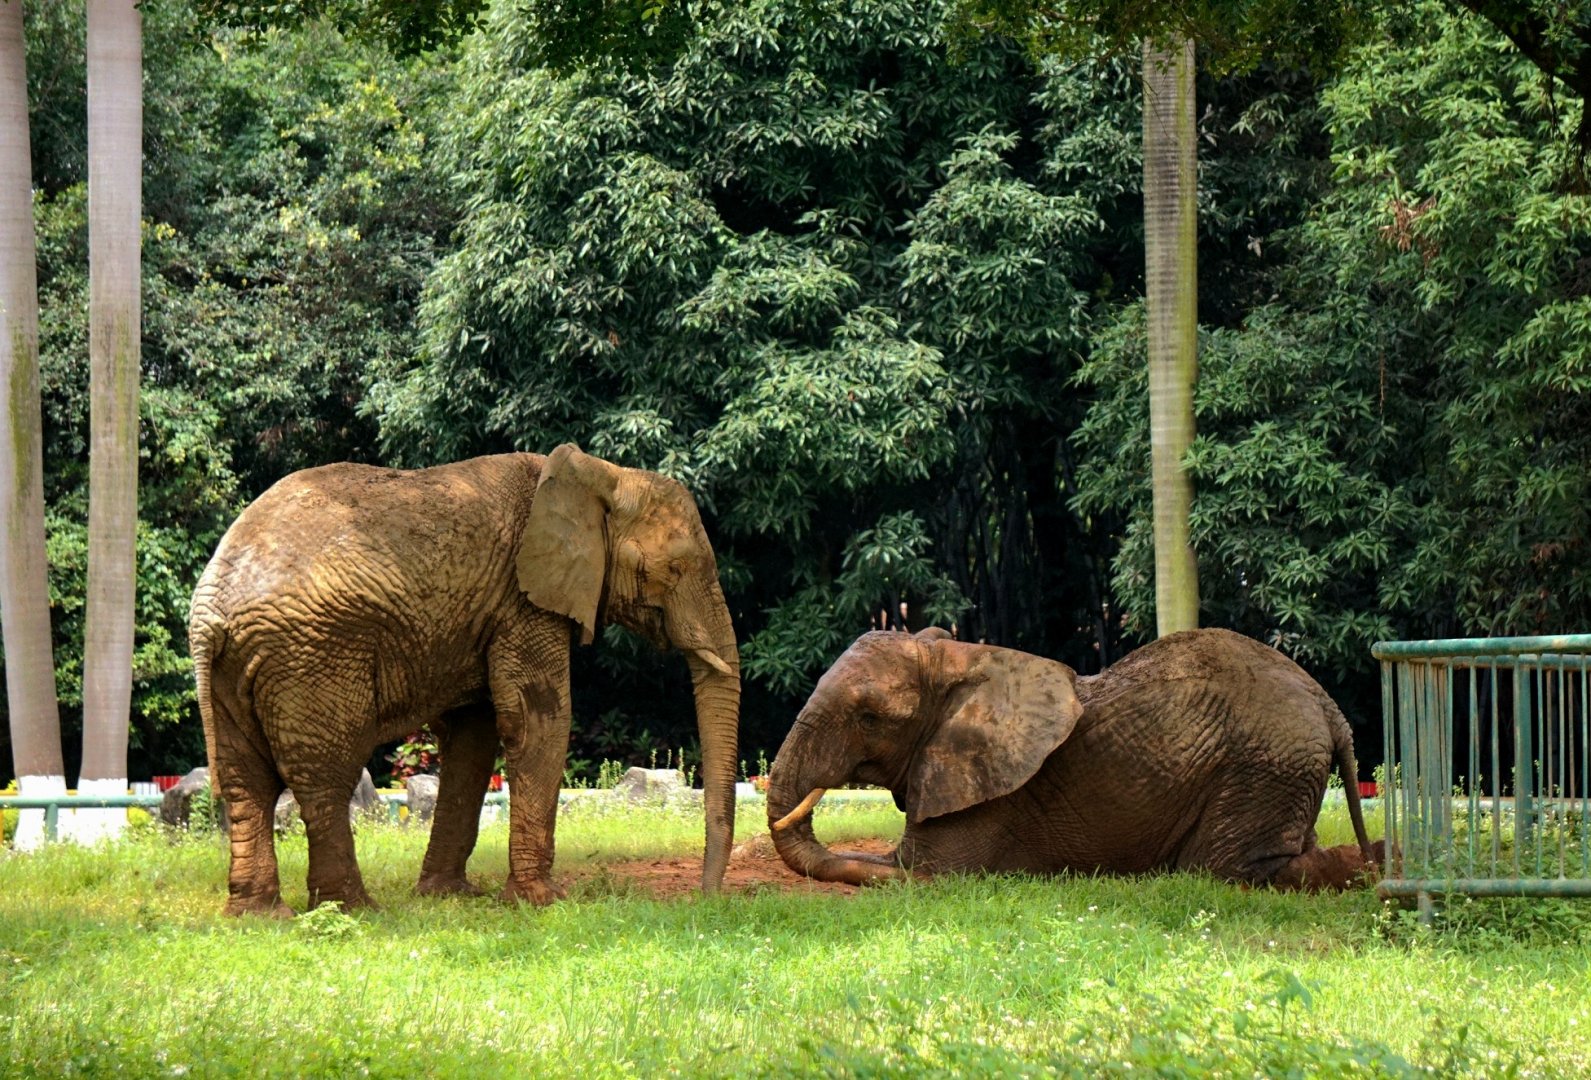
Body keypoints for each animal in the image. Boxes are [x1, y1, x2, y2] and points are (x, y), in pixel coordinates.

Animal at [188, 445, 740, 915]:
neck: (599, 474)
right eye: (675, 568)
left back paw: (260, 916)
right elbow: (538, 718)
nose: (706, 896)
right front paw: (541, 902)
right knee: (326, 776)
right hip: (313, 656)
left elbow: (475, 735)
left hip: (236, 670)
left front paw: (449, 896)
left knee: (245, 781)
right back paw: (353, 909)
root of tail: (212, 609)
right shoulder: (522, 602)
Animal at [768, 627, 1377, 890]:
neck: (960, 659)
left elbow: (927, 870)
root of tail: (1327, 704)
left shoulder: (987, 793)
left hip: (1262, 762)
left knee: (1226, 868)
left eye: (870, 718)